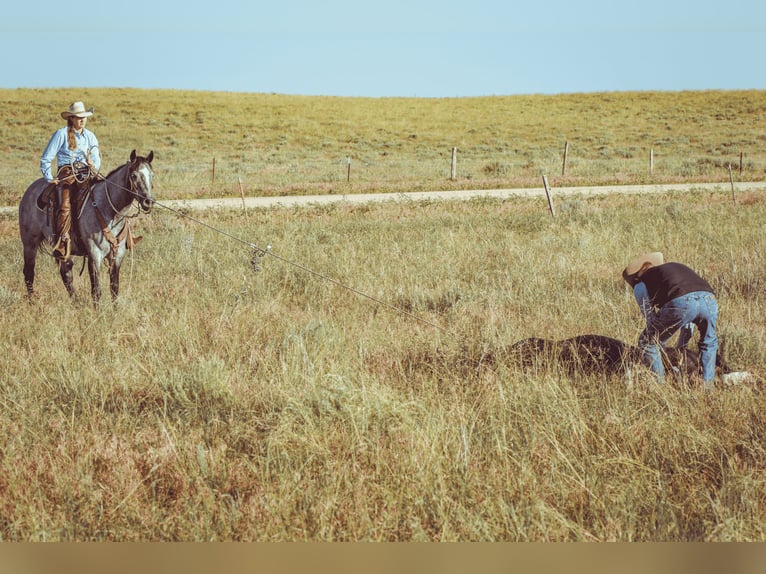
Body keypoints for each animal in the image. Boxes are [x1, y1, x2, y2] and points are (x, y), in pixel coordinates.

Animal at [19, 150, 155, 304]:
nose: (148, 202)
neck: (109, 211)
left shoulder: (117, 256)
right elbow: (96, 291)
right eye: (134, 175)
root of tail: (30, 190)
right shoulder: (94, 255)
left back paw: (76, 303)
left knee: (66, 273)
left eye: (151, 175)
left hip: (66, 250)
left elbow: (114, 289)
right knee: (29, 272)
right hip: (30, 243)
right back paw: (32, 301)